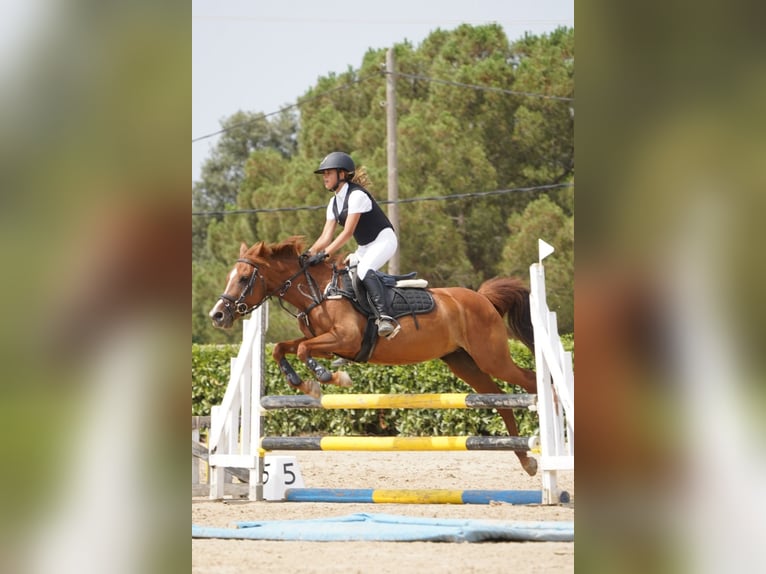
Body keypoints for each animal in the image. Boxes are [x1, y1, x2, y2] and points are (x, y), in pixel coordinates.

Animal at [208, 236, 539, 476]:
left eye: (244, 278)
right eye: (228, 277)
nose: (217, 315)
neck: (319, 291)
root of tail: (483, 298)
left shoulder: (345, 339)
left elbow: (303, 349)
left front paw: (327, 377)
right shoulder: (328, 344)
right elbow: (284, 347)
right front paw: (303, 383)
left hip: (491, 358)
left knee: (530, 381)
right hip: (463, 362)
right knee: (499, 399)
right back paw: (526, 460)